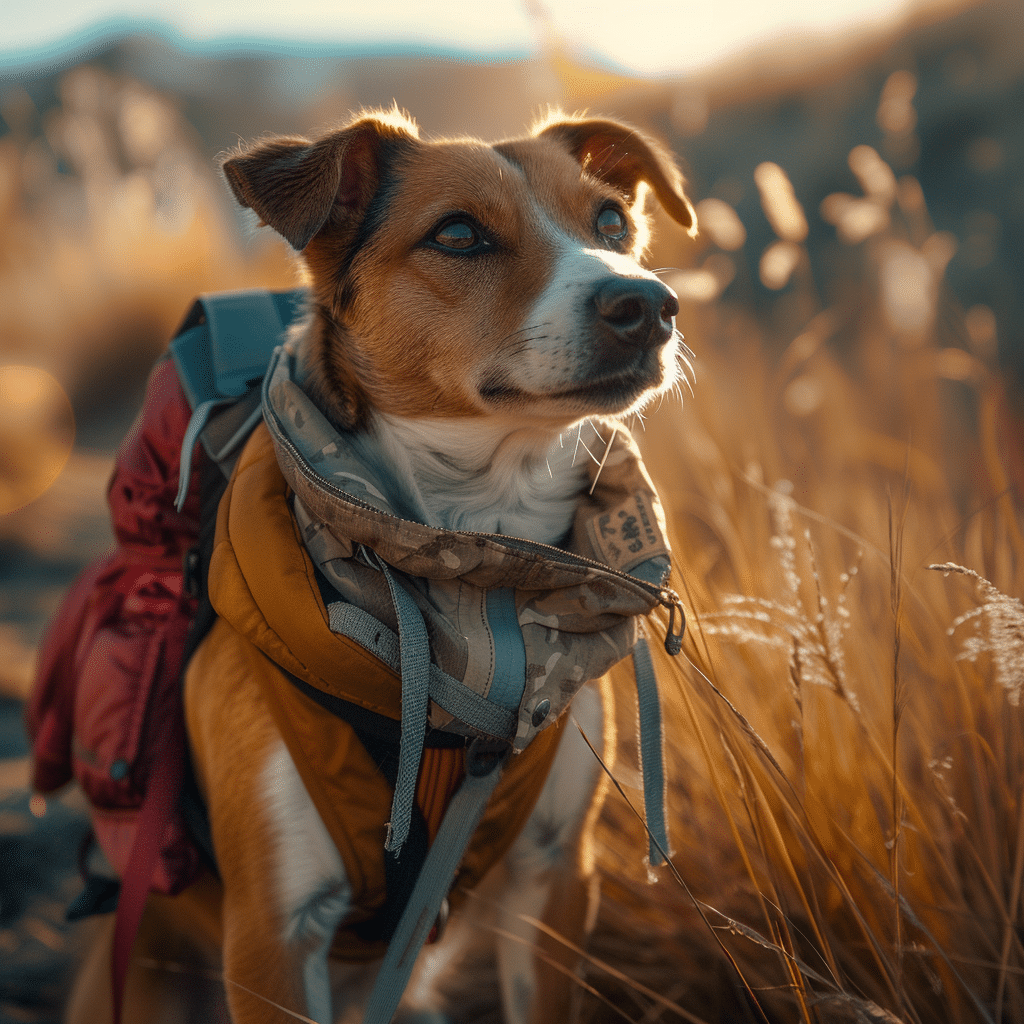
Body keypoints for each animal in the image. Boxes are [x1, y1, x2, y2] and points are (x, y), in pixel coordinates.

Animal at [66, 108, 696, 1019]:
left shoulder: (552, 883)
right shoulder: (274, 935)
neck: (484, 579)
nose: (649, 306)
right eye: (459, 233)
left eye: (611, 220)